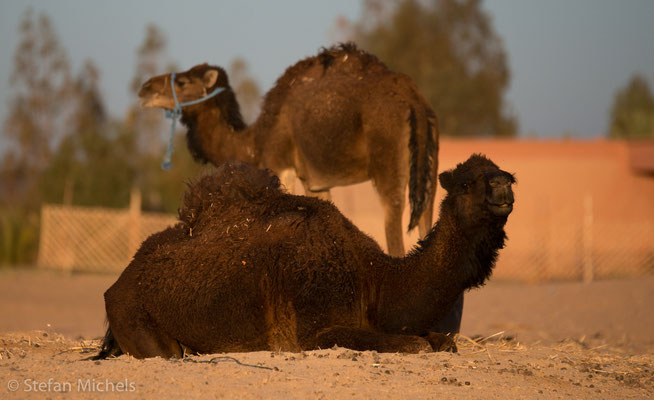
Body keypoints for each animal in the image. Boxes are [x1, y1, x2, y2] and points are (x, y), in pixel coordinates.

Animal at [95, 154, 516, 360]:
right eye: (466, 183)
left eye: (507, 176)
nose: (503, 187)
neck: (375, 279)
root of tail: (117, 283)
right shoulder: (316, 331)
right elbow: (415, 345)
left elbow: (442, 341)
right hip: (137, 318)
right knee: (168, 353)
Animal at [141, 42, 444, 258]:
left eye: (183, 82)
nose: (145, 88)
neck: (253, 142)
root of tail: (413, 100)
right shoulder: (316, 182)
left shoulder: (279, 163)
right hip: (429, 161)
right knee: (426, 221)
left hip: (388, 158)